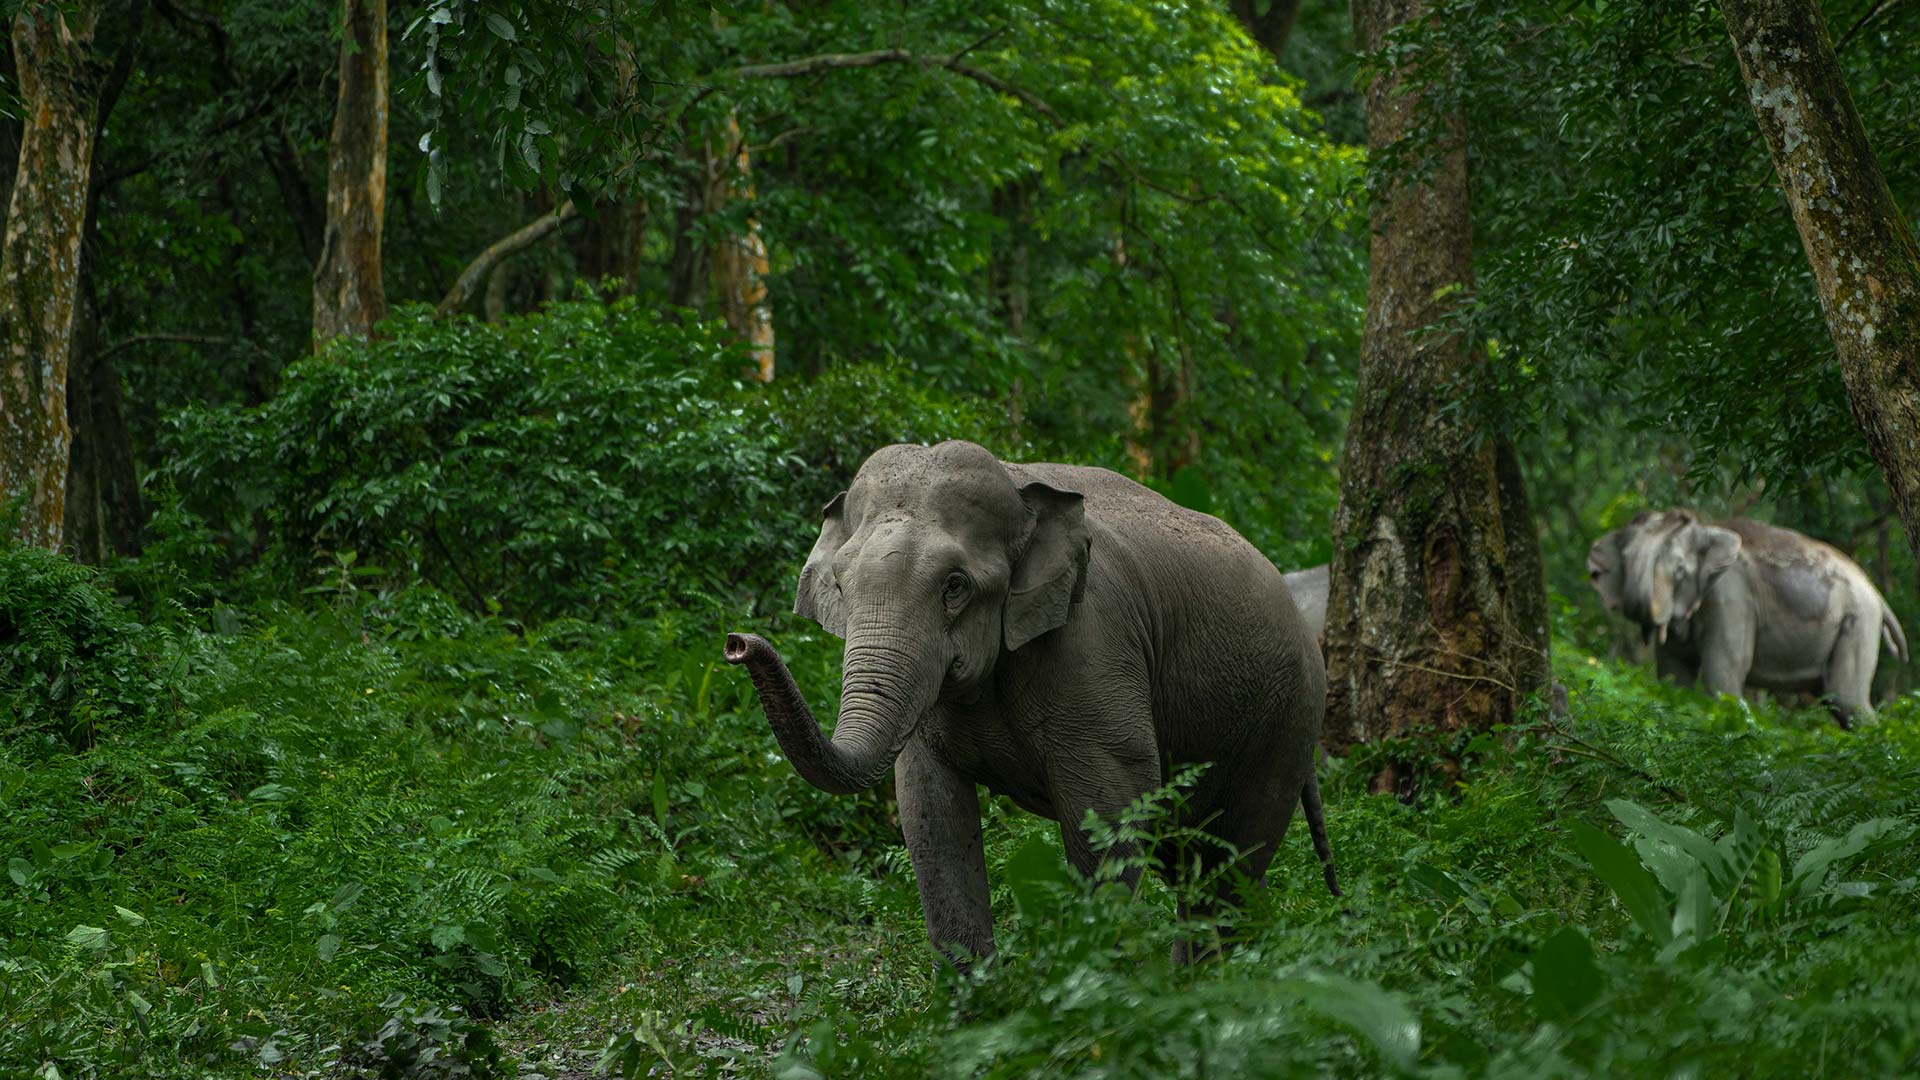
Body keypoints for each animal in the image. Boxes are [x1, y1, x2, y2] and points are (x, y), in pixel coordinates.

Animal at [724, 440, 1338, 967]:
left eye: (954, 585)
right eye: (841, 585)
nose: (737, 643)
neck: (1020, 488)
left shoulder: (1094, 644)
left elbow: (1112, 803)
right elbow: (931, 814)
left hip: (1284, 721)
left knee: (1227, 870)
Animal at [1587, 509, 1907, 727]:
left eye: (1679, 570)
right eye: (1625, 559)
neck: (1708, 530)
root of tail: (1877, 595)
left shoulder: (1732, 598)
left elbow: (1722, 677)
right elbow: (1673, 677)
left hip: (1859, 623)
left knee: (1848, 700)